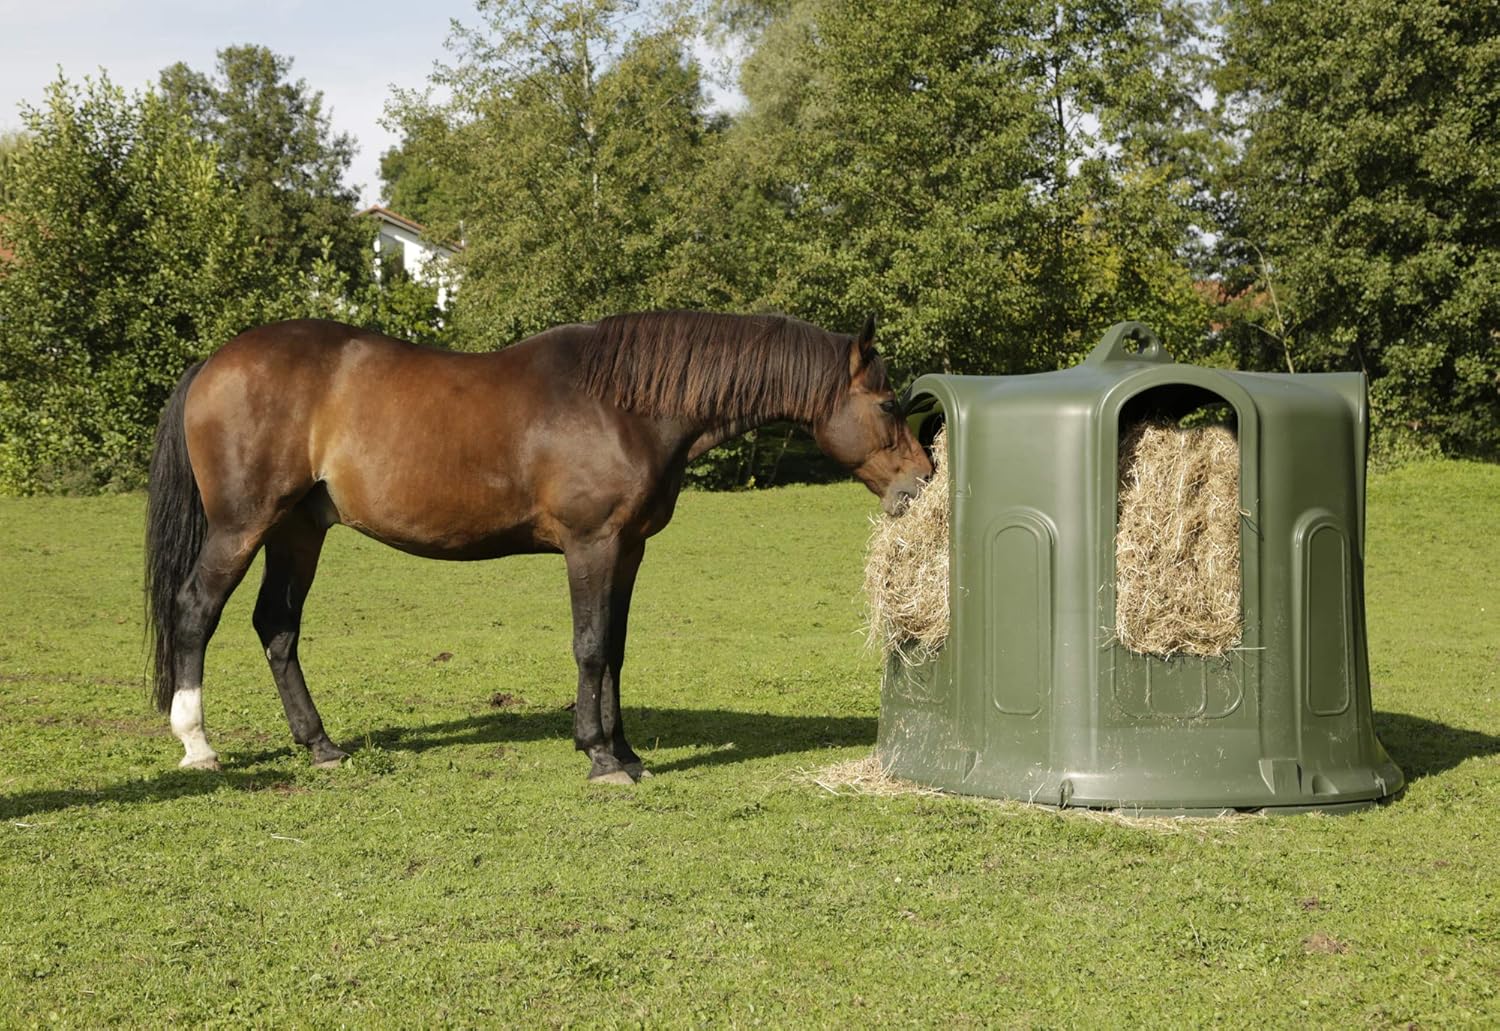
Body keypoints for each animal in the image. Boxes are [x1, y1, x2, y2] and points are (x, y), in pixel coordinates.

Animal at [145, 311, 933, 784]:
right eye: (887, 404)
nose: (921, 481)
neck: (625, 404)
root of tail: (215, 364)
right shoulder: (591, 546)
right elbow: (589, 646)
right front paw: (600, 757)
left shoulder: (628, 550)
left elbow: (615, 649)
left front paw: (625, 750)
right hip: (244, 525)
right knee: (196, 611)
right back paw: (198, 744)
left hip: (299, 530)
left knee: (277, 626)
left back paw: (321, 746)